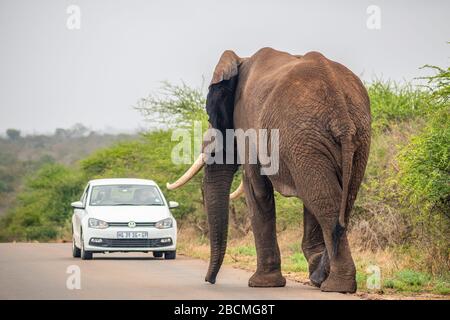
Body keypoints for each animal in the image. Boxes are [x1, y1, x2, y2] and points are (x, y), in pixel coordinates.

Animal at [167, 46, 370, 294]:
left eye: (210, 116)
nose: (210, 280)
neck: (241, 61)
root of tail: (341, 112)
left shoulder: (247, 122)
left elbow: (256, 188)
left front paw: (261, 283)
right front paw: (312, 274)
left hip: (306, 138)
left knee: (325, 201)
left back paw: (336, 286)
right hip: (350, 139)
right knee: (340, 199)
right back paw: (322, 278)